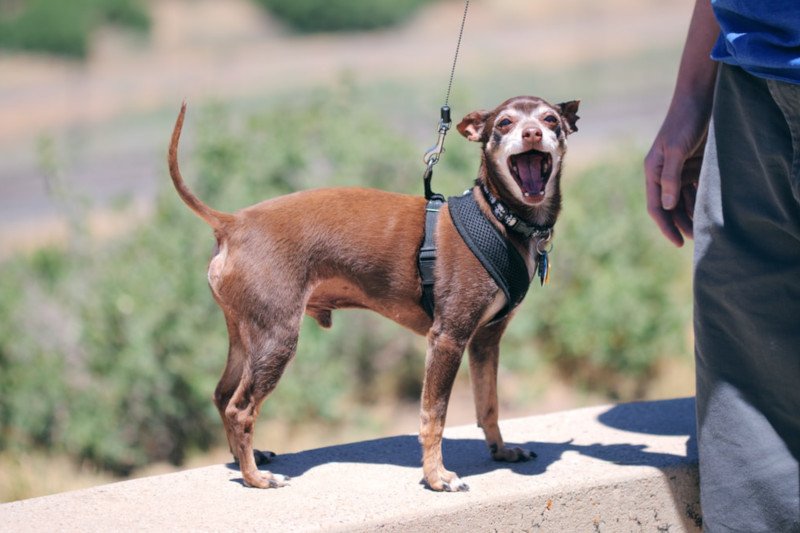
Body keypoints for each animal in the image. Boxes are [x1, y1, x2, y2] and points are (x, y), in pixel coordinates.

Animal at [169, 95, 580, 490]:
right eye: (505, 123)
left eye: (550, 120)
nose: (532, 133)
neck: (499, 218)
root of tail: (232, 223)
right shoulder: (447, 338)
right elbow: (434, 415)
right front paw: (436, 477)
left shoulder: (485, 340)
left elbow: (488, 405)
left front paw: (500, 450)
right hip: (276, 338)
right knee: (240, 408)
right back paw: (255, 477)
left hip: (245, 335)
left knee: (222, 395)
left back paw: (246, 460)